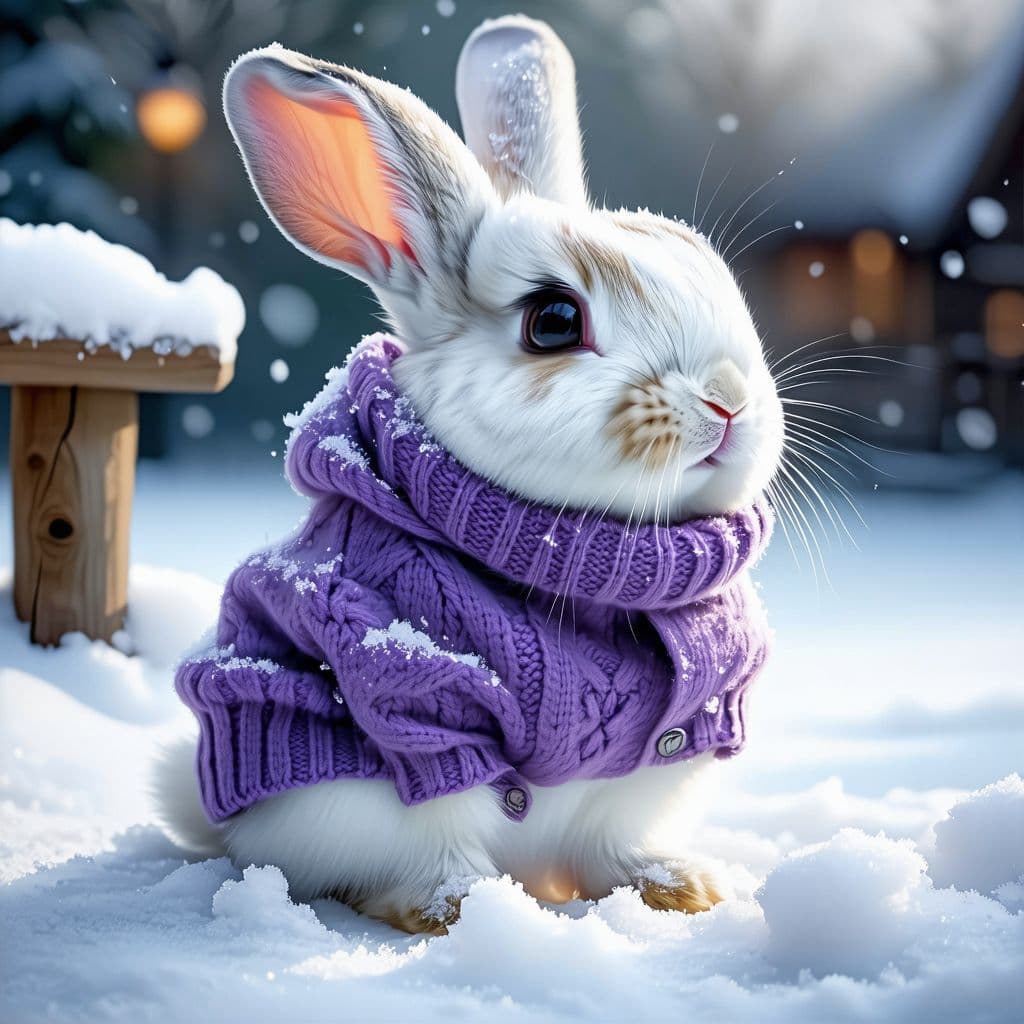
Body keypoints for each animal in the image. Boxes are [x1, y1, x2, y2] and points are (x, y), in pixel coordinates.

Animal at [155, 15, 784, 934]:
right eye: (553, 321)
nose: (731, 400)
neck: (577, 559)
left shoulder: (680, 736)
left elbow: (614, 840)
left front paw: (677, 889)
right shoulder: (415, 705)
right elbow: (441, 824)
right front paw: (465, 909)